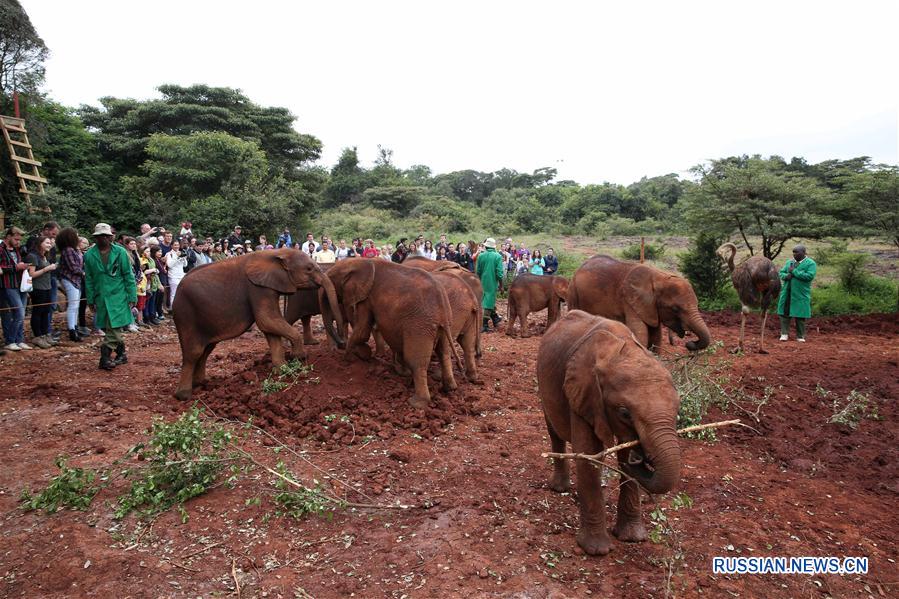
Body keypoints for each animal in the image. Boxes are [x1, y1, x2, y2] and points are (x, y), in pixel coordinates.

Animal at [174, 251, 342, 400]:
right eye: (309, 269)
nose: (341, 343)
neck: (278, 253)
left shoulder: (267, 287)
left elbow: (270, 327)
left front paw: (283, 370)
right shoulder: (257, 288)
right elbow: (267, 320)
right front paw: (299, 357)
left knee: (206, 349)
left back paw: (201, 383)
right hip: (185, 314)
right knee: (194, 352)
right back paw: (184, 396)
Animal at [322, 258, 460, 408]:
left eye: (331, 278)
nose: (340, 343)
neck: (361, 261)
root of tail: (442, 309)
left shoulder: (366, 298)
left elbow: (363, 329)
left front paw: (346, 360)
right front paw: (361, 355)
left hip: (419, 326)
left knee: (416, 362)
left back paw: (417, 403)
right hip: (443, 325)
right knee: (444, 353)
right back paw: (449, 388)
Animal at [536, 312, 684, 556]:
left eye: (678, 409)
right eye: (624, 413)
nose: (642, 457)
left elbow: (622, 455)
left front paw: (633, 539)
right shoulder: (583, 393)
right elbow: (589, 454)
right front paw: (596, 550)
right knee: (554, 430)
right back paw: (560, 488)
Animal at [568, 256, 712, 352]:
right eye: (675, 309)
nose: (689, 344)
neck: (659, 277)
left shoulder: (651, 307)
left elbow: (656, 338)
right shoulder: (630, 301)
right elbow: (640, 336)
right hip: (573, 291)